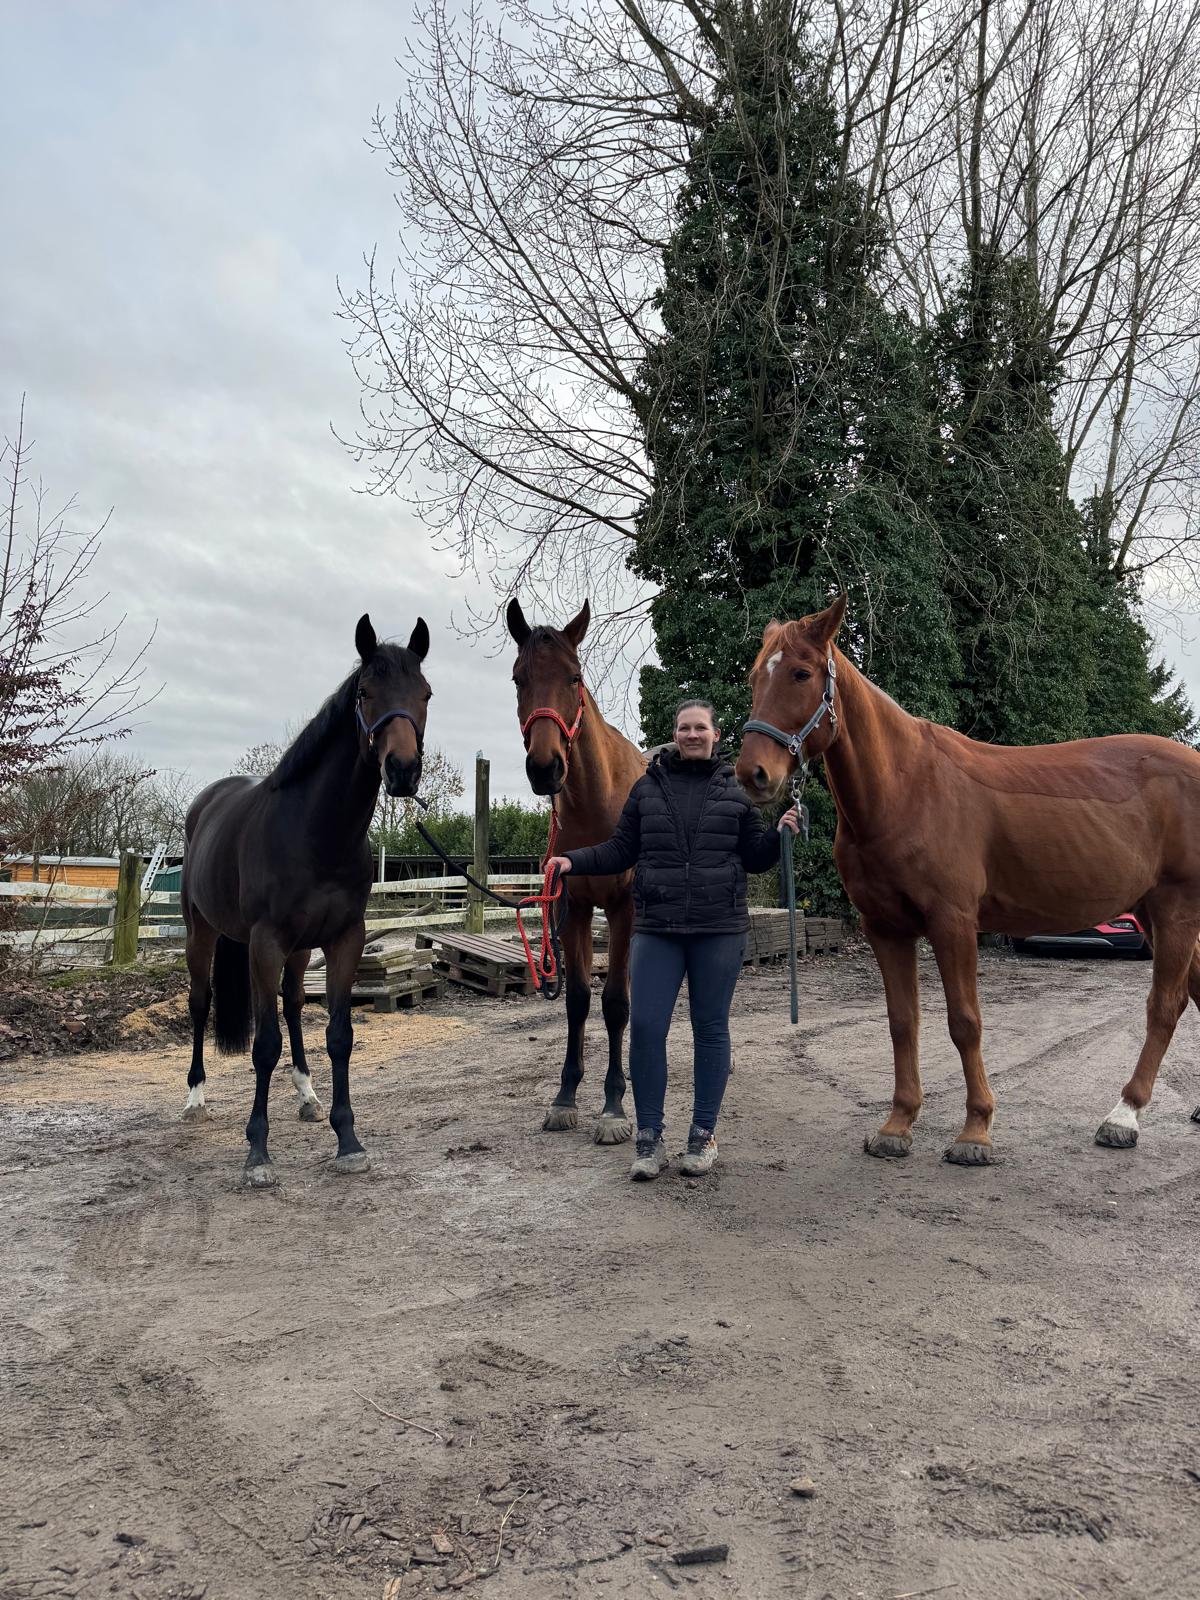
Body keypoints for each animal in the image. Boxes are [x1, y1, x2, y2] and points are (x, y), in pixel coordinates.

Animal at [180, 615, 431, 1186]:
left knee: (294, 1004)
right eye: (365, 692)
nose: (402, 770)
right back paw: (195, 1098)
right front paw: (257, 1153)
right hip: (202, 932)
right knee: (201, 1003)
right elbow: (264, 1045)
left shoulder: (343, 939)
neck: (316, 832)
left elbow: (338, 1034)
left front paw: (348, 1140)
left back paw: (307, 1095)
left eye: (425, 693)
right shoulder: (265, 942)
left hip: (298, 950)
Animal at [506, 598, 646, 1142]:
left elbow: (616, 1003)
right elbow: (580, 1000)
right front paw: (566, 1097)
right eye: (519, 679)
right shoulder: (575, 908)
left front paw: (614, 1106)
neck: (597, 803)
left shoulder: (624, 909)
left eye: (574, 676)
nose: (545, 768)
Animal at [737, 594, 1200, 1163]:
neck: (905, 788)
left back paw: (1123, 1117)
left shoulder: (953, 922)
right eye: (756, 676)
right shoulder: (884, 927)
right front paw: (897, 1125)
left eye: (801, 673)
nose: (753, 774)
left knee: (1165, 1006)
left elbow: (964, 1022)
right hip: (1158, 913)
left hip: (1175, 910)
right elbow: (903, 1022)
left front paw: (975, 1131)